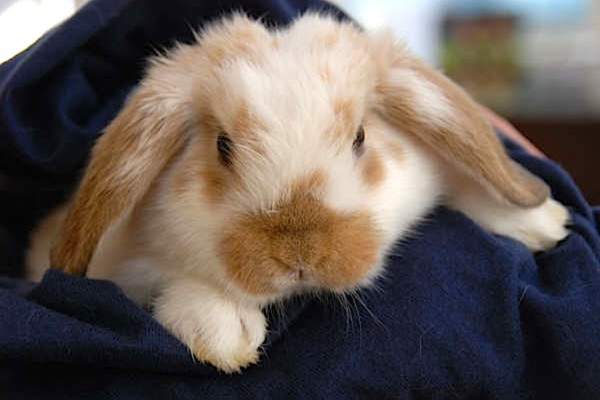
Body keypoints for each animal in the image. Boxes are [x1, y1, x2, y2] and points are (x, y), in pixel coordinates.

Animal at [27, 13, 572, 376]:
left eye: (360, 138)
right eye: (222, 146)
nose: (300, 255)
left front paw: (543, 220)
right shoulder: (127, 264)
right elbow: (157, 276)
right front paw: (222, 331)